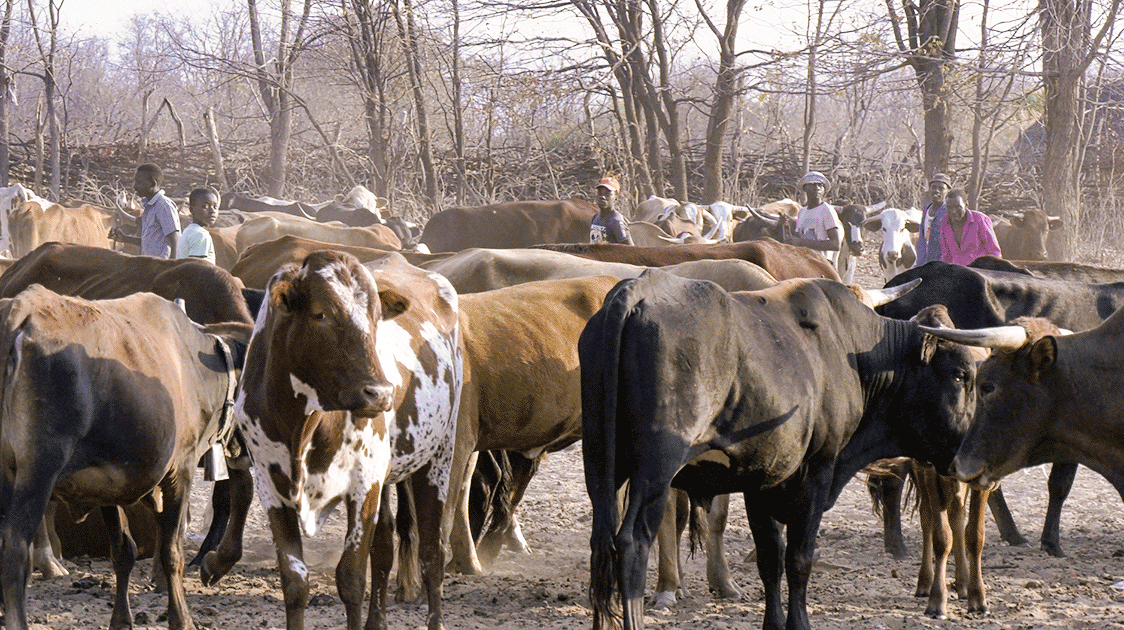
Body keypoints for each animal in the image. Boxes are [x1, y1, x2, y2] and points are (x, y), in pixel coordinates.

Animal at [0, 286, 250, 630]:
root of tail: (18, 313)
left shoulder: (106, 484)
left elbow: (123, 552)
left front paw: (121, 619)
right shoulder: (181, 472)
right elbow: (171, 551)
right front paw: (181, 617)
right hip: (36, 473)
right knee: (14, 554)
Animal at [217, 250, 460, 630]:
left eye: (376, 317)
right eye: (321, 314)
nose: (379, 393)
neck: (302, 425)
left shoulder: (363, 485)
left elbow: (351, 579)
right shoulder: (272, 488)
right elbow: (295, 582)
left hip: (438, 457)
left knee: (432, 556)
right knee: (384, 547)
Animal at [581, 272, 980, 630]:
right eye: (961, 374)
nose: (971, 455)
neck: (852, 352)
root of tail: (635, 292)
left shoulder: (762, 479)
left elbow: (770, 559)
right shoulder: (817, 471)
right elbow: (799, 558)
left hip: (601, 465)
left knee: (602, 543)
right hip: (655, 471)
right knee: (631, 543)